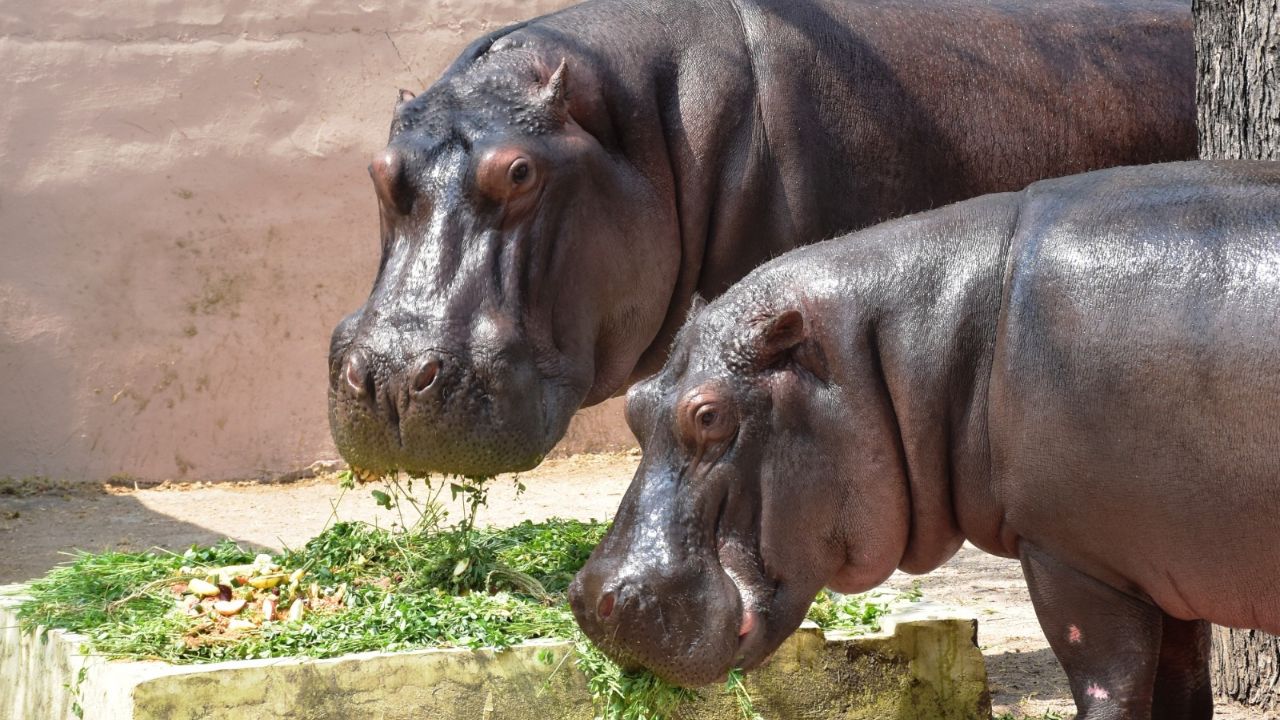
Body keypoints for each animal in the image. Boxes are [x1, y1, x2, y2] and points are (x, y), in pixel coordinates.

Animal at [569, 160, 1280, 718]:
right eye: (635, 401)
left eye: (709, 415)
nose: (589, 597)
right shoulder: (1165, 571)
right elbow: (1184, 690)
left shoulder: (1074, 559)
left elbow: (1112, 689)